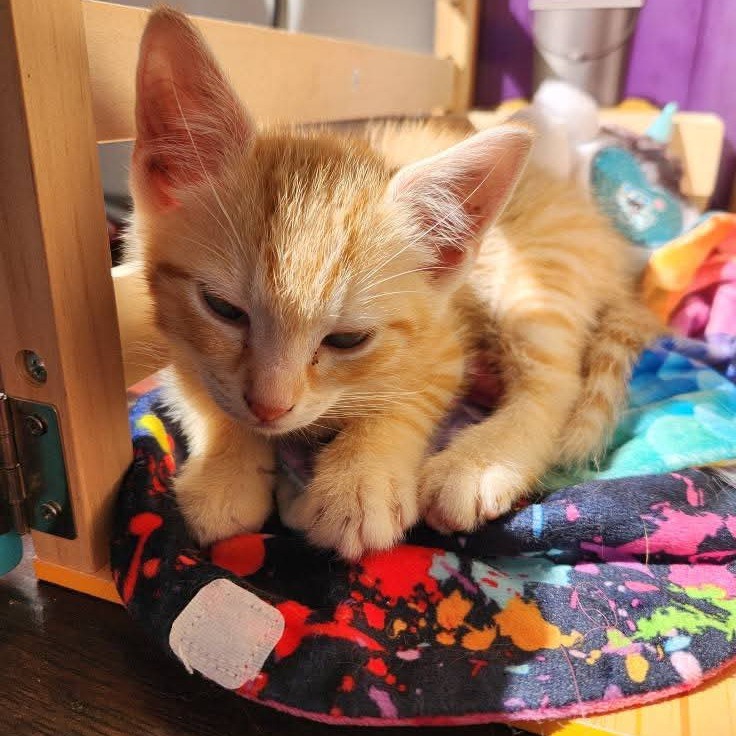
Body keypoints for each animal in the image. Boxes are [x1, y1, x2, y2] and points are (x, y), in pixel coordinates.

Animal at [126, 8, 660, 559]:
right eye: (223, 309)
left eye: (347, 339)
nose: (269, 407)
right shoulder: (175, 338)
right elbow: (201, 390)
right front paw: (225, 470)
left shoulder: (444, 346)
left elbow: (405, 400)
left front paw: (361, 481)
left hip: (535, 280)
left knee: (555, 383)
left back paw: (478, 462)